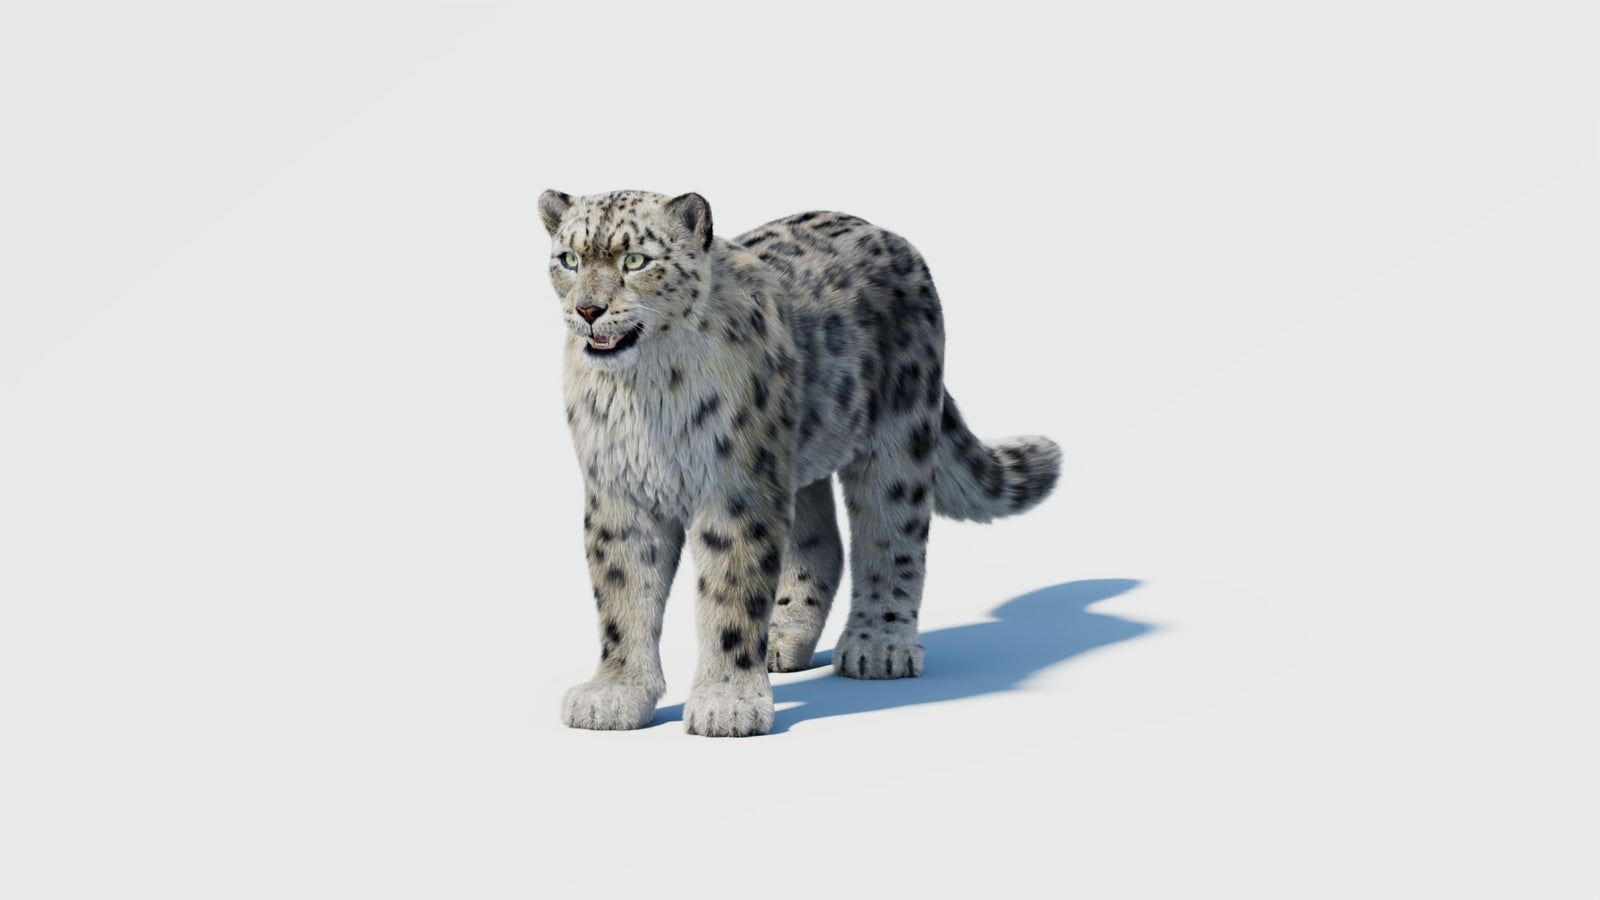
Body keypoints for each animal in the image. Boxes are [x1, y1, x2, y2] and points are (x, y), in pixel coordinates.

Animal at [539, 189, 1061, 736]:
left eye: (636, 260)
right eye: (569, 259)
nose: (588, 309)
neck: (646, 393)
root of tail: (887, 234)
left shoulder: (735, 489)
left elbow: (731, 591)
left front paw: (726, 703)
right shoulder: (619, 492)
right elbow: (622, 595)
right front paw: (614, 694)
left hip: (897, 441)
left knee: (891, 536)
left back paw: (878, 647)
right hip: (791, 460)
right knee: (820, 545)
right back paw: (782, 640)